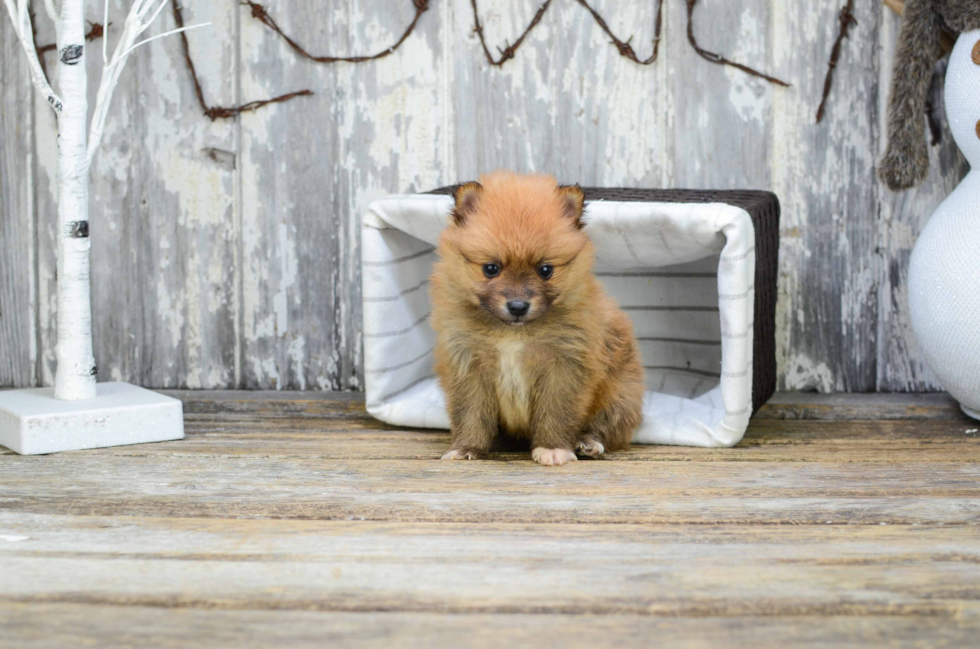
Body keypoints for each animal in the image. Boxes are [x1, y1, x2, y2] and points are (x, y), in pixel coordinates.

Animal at [432, 171, 648, 466]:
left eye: (545, 270)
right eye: (491, 268)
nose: (518, 306)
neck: (512, 333)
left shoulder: (564, 365)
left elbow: (556, 412)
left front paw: (553, 448)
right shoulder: (468, 364)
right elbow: (471, 413)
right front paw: (467, 448)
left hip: (621, 394)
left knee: (607, 425)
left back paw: (589, 443)